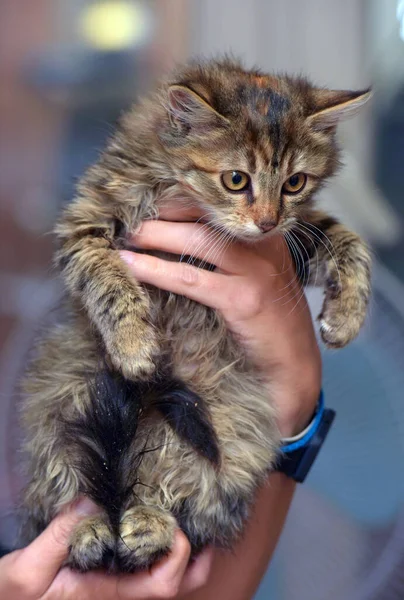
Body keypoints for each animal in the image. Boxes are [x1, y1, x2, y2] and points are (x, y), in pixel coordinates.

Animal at [20, 57, 370, 572]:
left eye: (295, 183)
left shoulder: (296, 236)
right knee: (74, 497)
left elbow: (349, 240)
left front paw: (346, 317)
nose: (266, 222)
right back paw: (90, 532)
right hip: (60, 407)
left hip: (229, 437)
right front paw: (134, 347)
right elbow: (110, 280)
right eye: (236, 180)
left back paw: (148, 527)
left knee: (183, 505)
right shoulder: (85, 225)